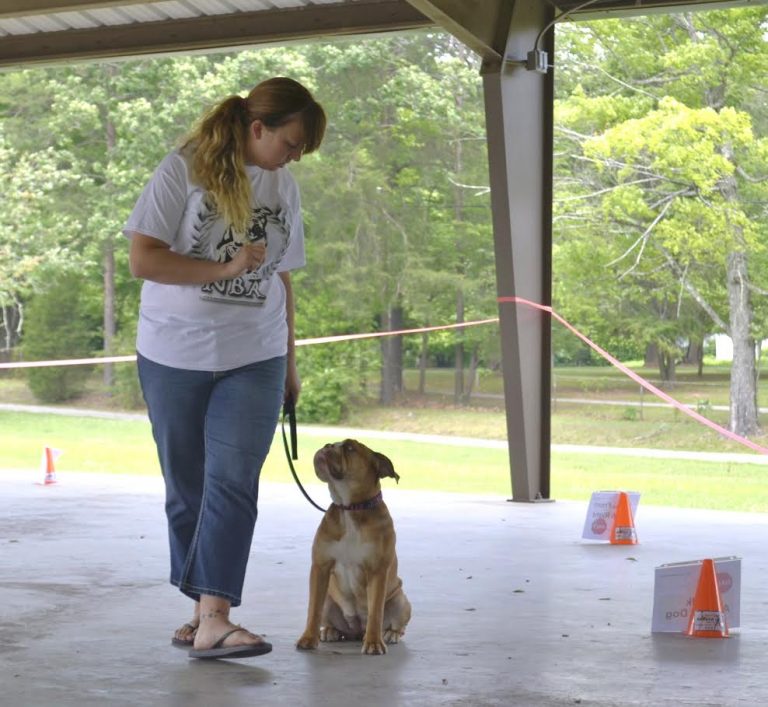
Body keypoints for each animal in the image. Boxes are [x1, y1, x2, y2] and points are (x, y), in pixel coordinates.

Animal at [296, 440, 412, 656]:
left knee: (395, 625)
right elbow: (313, 608)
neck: (350, 508)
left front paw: (374, 642)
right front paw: (308, 638)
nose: (327, 445)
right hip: (329, 600)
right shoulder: (320, 567)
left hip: (401, 601)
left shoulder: (377, 571)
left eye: (350, 447)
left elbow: (376, 612)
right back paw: (330, 631)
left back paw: (389, 634)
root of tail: (357, 632)